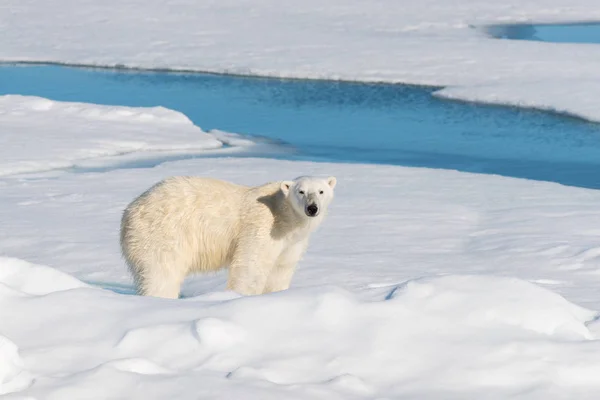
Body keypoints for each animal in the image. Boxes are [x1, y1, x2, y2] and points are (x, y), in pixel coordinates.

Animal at [119, 175, 336, 296]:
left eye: (321, 191)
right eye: (301, 191)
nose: (312, 208)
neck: (285, 216)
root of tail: (129, 211)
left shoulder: (290, 242)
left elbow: (281, 269)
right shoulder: (263, 227)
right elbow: (251, 266)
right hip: (163, 233)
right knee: (162, 273)